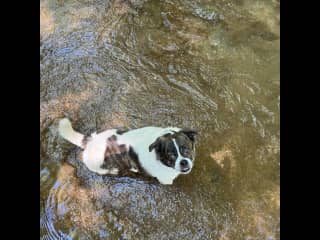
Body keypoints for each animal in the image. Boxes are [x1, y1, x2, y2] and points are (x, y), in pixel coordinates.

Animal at [58, 119, 198, 185]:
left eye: (185, 149)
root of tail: (90, 142)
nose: (184, 162)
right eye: (171, 155)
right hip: (98, 166)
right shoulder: (165, 179)